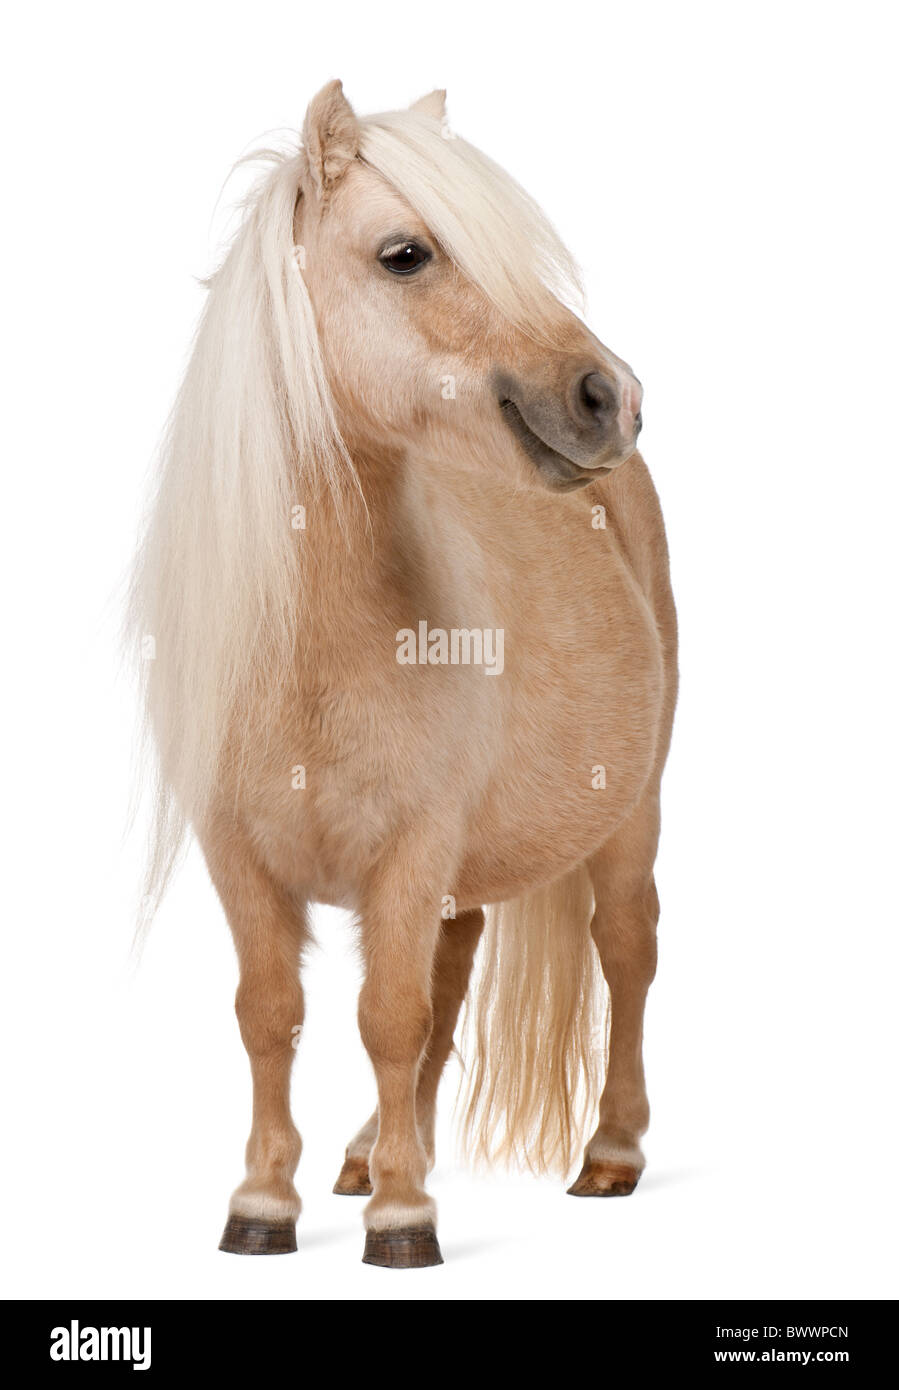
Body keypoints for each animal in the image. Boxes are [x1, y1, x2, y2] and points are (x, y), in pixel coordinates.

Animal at [130, 80, 678, 1269]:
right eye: (404, 254)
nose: (610, 396)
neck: (311, 650)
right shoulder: (238, 856)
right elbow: (272, 1014)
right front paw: (266, 1203)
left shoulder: (408, 852)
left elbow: (387, 1015)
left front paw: (402, 1217)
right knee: (453, 968)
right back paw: (371, 1149)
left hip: (627, 820)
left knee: (624, 953)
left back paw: (608, 1153)